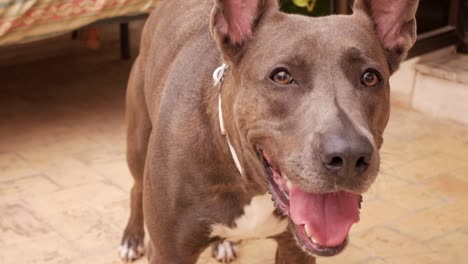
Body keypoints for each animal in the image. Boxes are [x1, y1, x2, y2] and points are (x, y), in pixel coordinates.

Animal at [119, 0, 418, 262]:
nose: (349, 156)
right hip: (137, 140)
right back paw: (131, 239)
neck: (250, 182)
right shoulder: (168, 253)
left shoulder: (295, 250)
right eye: (282, 76)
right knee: (135, 187)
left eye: (370, 78)